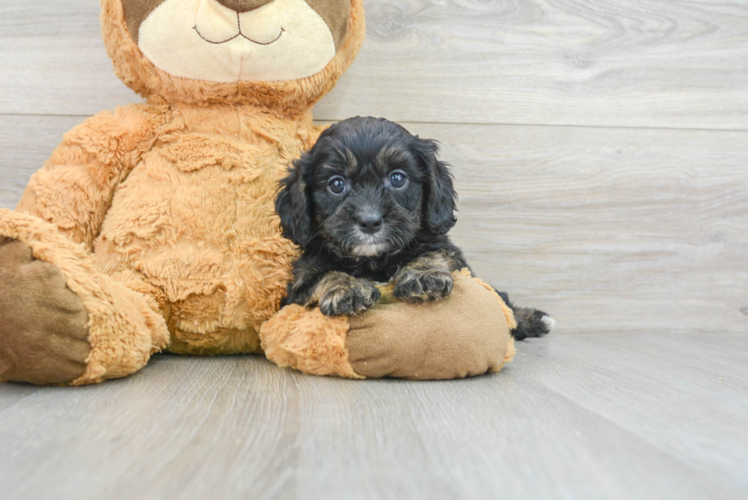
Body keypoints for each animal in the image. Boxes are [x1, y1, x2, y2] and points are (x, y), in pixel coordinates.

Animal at [278, 116, 552, 340]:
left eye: (398, 178)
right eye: (336, 184)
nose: (370, 221)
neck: (374, 261)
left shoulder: (442, 245)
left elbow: (434, 252)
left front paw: (424, 275)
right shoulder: (299, 283)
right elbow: (320, 275)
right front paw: (347, 287)